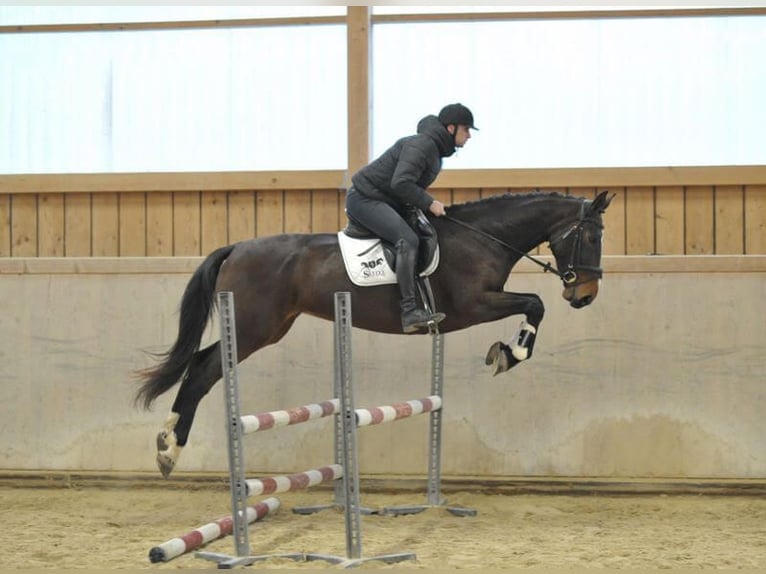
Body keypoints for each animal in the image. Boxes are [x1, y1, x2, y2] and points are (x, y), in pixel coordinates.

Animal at [138, 189, 616, 476]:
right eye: (592, 238)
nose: (585, 295)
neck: (483, 237)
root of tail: (236, 247)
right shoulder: (472, 306)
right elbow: (535, 302)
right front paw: (508, 353)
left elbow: (534, 304)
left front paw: (506, 351)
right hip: (254, 326)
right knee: (203, 370)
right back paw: (168, 448)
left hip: (269, 327)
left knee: (201, 365)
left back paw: (167, 445)